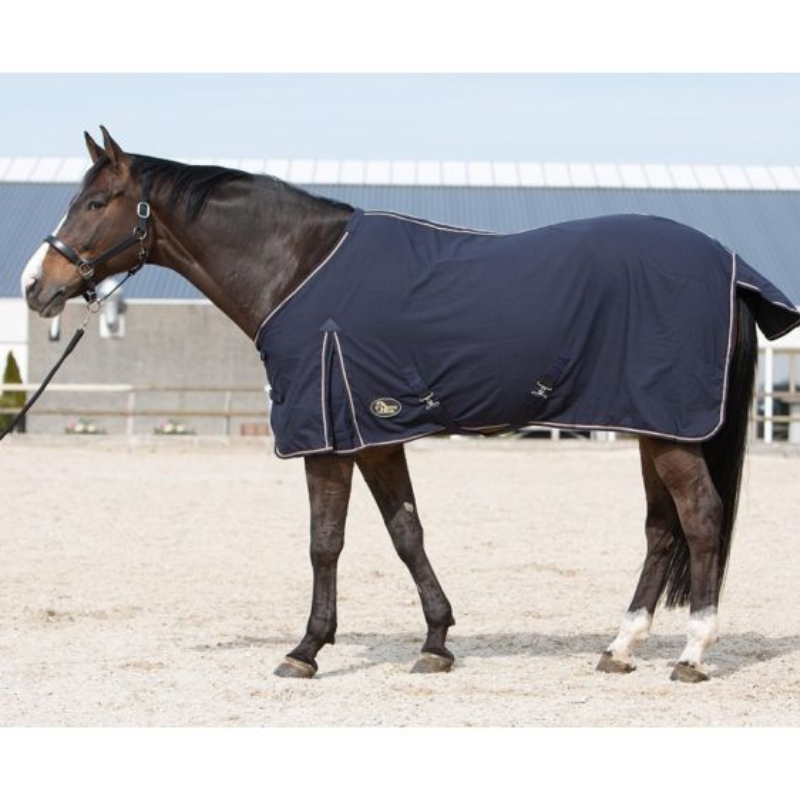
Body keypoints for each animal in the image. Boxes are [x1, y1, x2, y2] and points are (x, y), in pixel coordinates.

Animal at [21, 127, 800, 683]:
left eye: (94, 204)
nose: (35, 286)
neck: (298, 267)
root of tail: (730, 267)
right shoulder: (374, 433)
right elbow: (406, 533)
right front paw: (435, 641)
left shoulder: (326, 437)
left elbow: (325, 542)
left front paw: (305, 649)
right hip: (648, 424)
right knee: (661, 531)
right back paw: (620, 646)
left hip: (671, 431)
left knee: (700, 519)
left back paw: (691, 654)